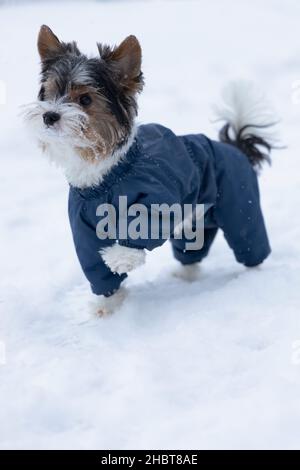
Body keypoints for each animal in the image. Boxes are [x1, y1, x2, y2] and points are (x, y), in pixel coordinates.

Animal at [24, 25, 280, 316]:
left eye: (86, 99)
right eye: (50, 93)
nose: (49, 116)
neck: (107, 177)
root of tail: (234, 148)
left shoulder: (159, 200)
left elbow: (143, 224)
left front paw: (120, 258)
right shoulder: (83, 226)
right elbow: (95, 265)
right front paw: (107, 305)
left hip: (239, 203)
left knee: (249, 239)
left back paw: (253, 277)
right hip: (197, 221)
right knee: (193, 248)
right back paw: (185, 276)